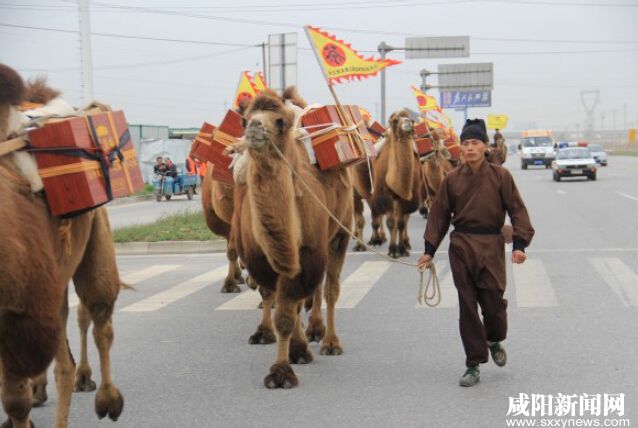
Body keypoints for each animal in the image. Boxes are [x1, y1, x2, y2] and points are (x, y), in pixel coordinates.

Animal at [235, 90, 356, 388]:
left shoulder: (308, 253)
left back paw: (330, 342)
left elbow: (287, 314)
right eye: (245, 120)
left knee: (331, 288)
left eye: (281, 122)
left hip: (340, 232)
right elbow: (280, 305)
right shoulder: (263, 262)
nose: (255, 128)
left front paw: (281, 372)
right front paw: (291, 355)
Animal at [372, 110, 422, 258]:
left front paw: (402, 249)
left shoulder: (404, 198)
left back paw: (406, 243)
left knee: (404, 220)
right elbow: (391, 223)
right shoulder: (387, 196)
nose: (408, 123)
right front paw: (392, 250)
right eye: (395, 121)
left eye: (410, 119)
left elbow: (400, 223)